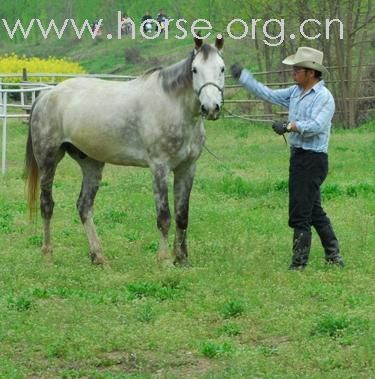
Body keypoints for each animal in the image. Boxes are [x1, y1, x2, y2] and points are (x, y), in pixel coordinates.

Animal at [25, 36, 226, 268]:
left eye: (222, 68)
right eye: (194, 69)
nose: (210, 108)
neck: (173, 105)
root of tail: (47, 94)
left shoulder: (187, 168)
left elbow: (182, 216)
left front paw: (182, 259)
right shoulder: (160, 167)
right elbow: (164, 216)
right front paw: (165, 260)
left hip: (91, 164)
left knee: (84, 207)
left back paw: (98, 256)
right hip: (48, 160)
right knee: (47, 205)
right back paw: (48, 254)